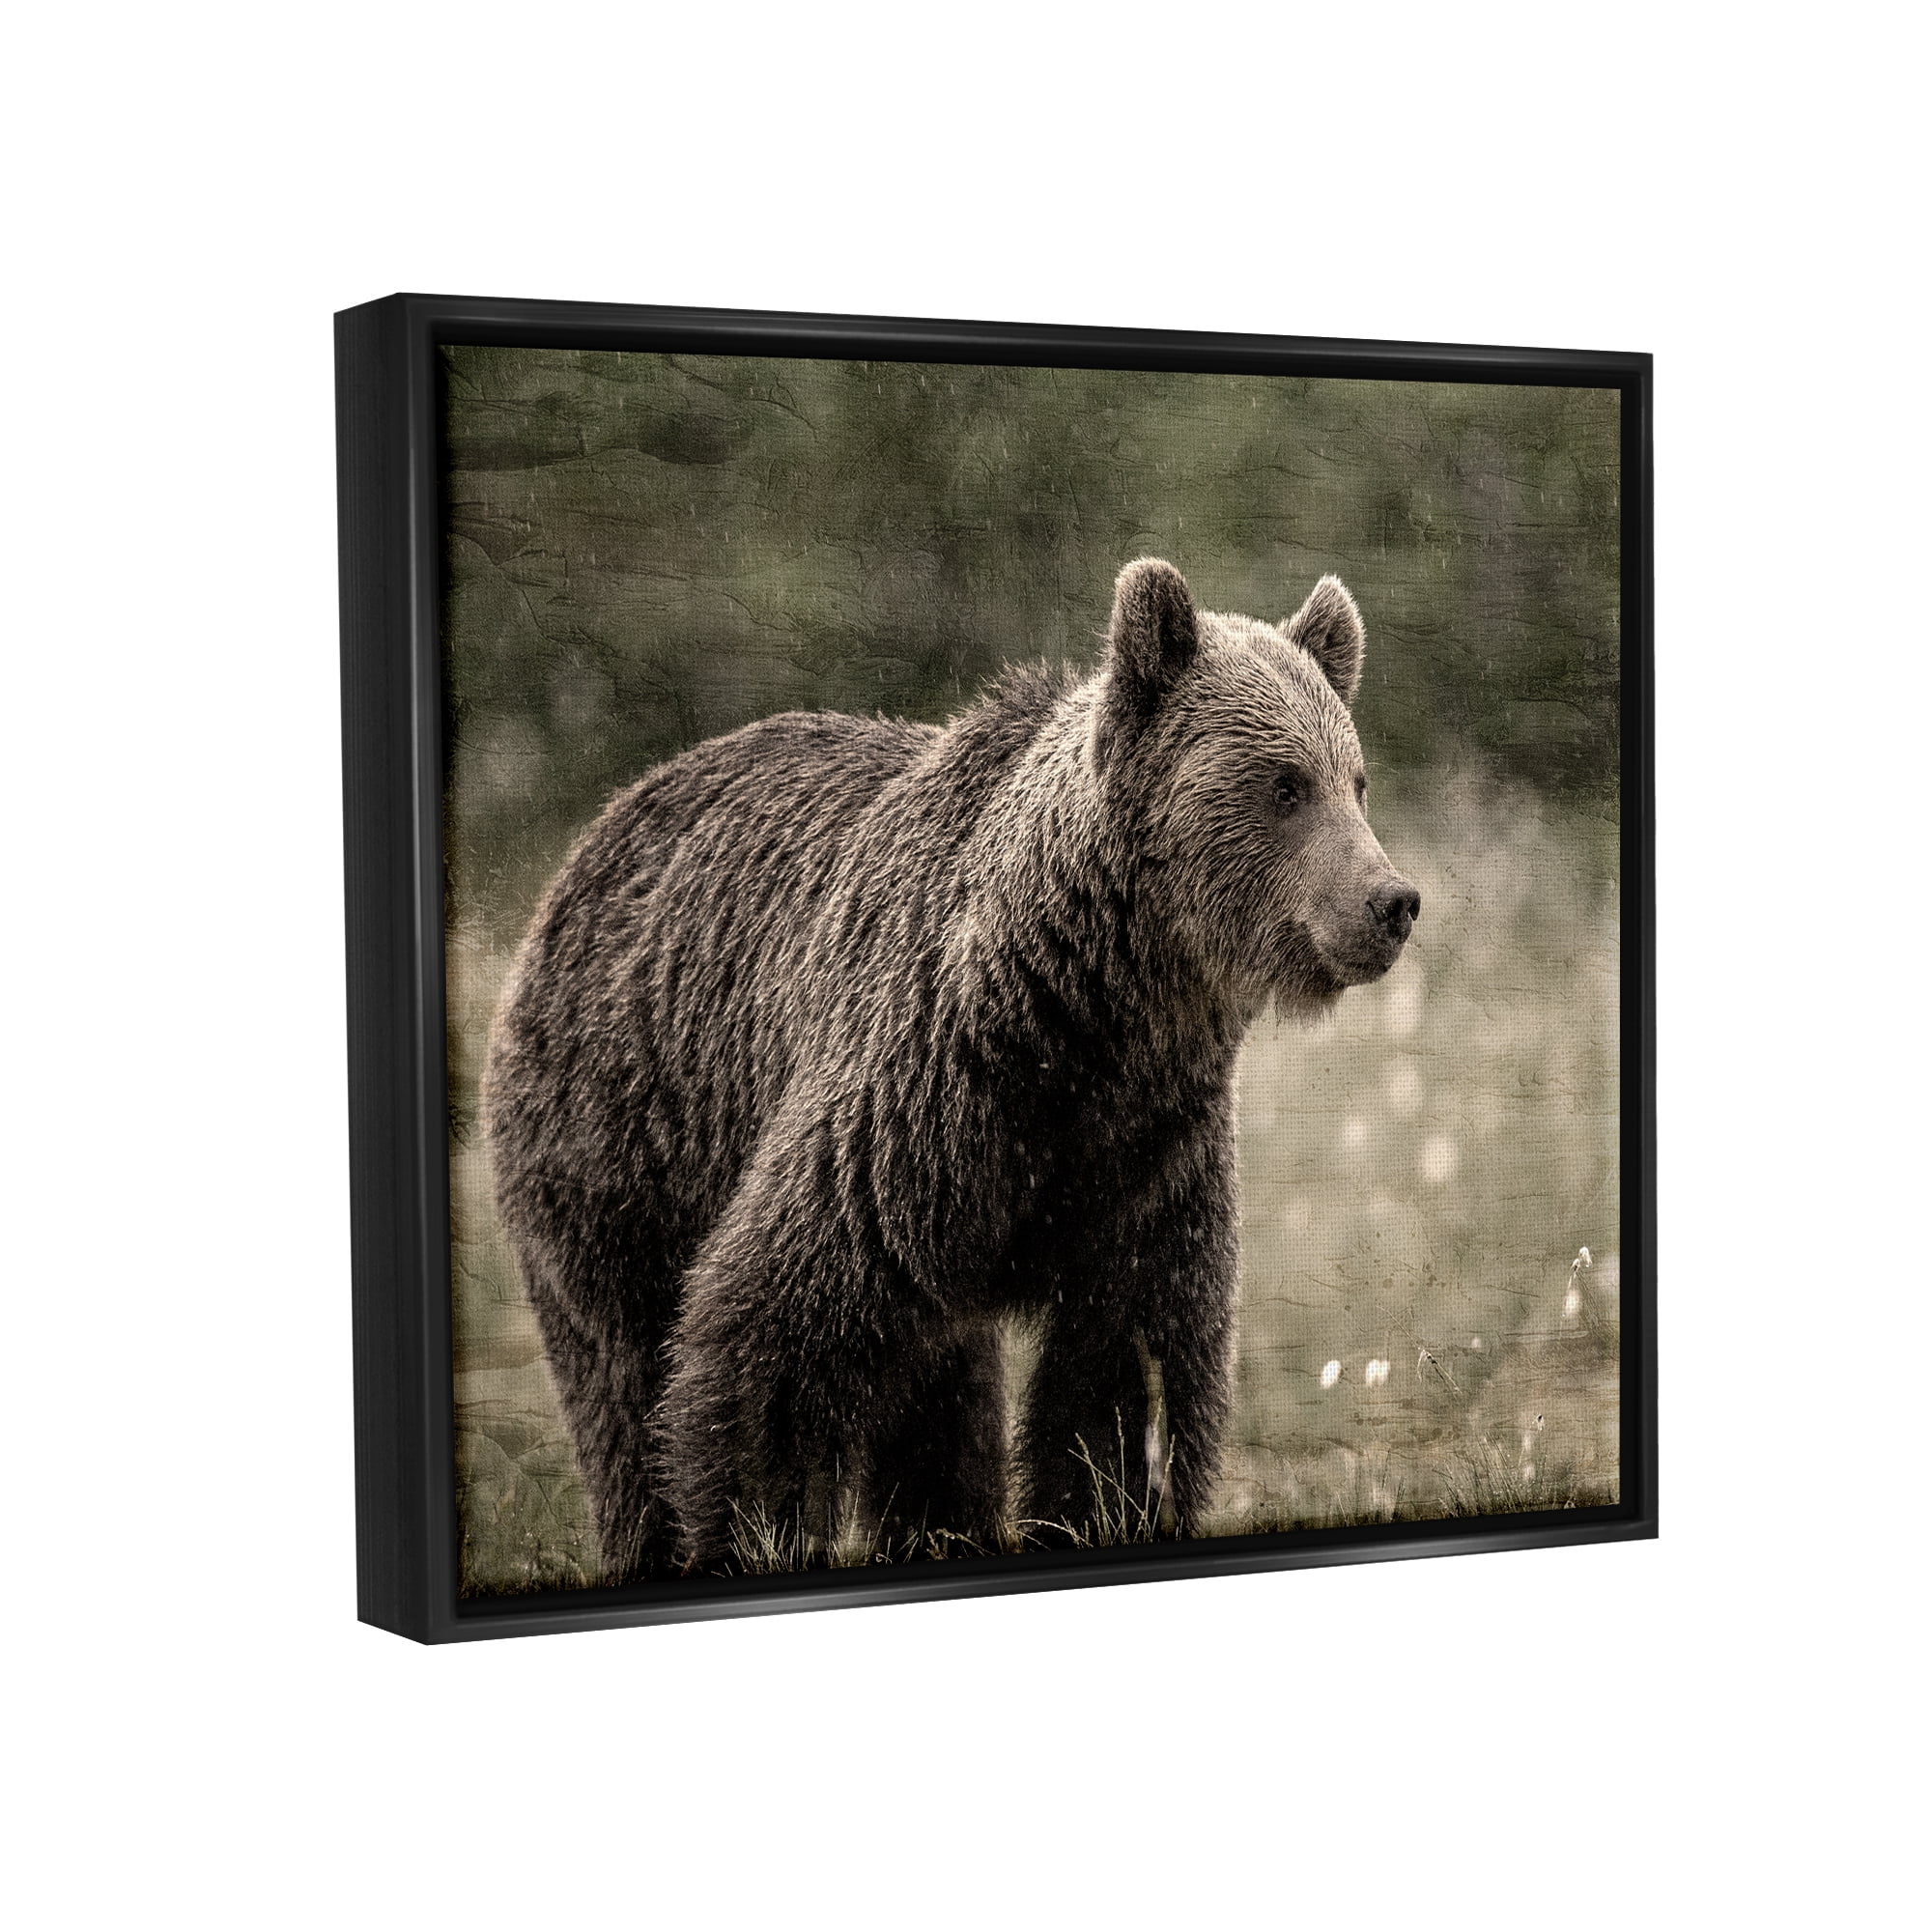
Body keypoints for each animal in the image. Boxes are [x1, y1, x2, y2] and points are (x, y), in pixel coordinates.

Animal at [483, 558, 1419, 1580]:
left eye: (1356, 781)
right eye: (1284, 786)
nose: (1391, 902)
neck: (1091, 1013)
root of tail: (592, 839)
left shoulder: (1148, 1153)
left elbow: (1125, 1373)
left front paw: (1103, 1506)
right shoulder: (921, 1101)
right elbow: (768, 1339)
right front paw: (759, 1532)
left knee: (937, 1396)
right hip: (623, 1138)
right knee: (625, 1373)